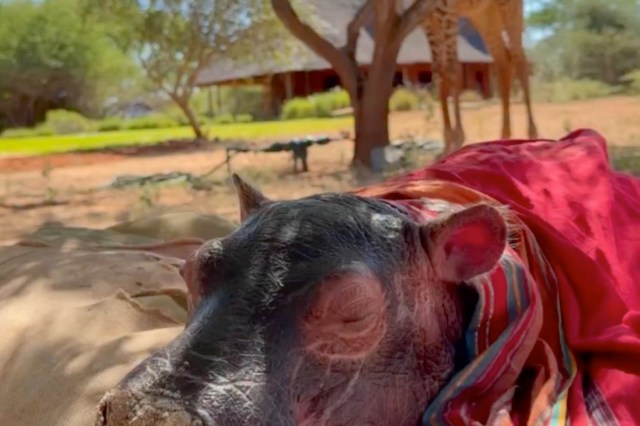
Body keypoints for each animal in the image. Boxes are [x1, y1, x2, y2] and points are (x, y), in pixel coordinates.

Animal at [421, 0, 538, 155]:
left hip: (509, 8)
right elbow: (438, 72)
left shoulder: (446, 12)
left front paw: (457, 137)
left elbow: (451, 68)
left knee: (520, 59)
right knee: (504, 61)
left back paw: (532, 133)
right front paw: (447, 146)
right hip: (484, 15)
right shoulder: (427, 20)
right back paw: (503, 137)